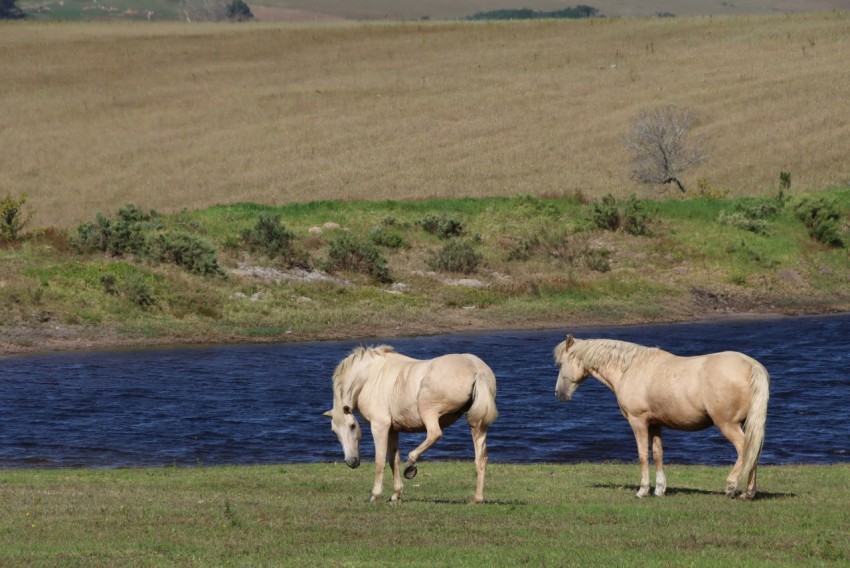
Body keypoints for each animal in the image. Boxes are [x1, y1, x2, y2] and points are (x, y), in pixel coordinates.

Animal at [324, 345, 498, 503]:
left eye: (352, 426)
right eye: (334, 431)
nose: (351, 462)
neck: (370, 376)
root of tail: (476, 369)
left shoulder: (380, 426)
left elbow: (380, 461)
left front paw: (375, 495)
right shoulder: (393, 430)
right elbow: (393, 460)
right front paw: (396, 494)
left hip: (428, 410)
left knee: (434, 434)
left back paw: (411, 464)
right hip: (477, 425)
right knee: (481, 459)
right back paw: (477, 498)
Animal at [553, 334, 769, 500]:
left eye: (562, 363)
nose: (559, 393)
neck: (630, 368)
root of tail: (751, 365)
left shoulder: (638, 421)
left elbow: (642, 454)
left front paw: (642, 490)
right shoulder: (655, 424)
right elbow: (658, 454)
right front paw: (659, 489)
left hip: (727, 424)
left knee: (744, 449)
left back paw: (732, 486)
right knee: (754, 451)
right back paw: (748, 493)